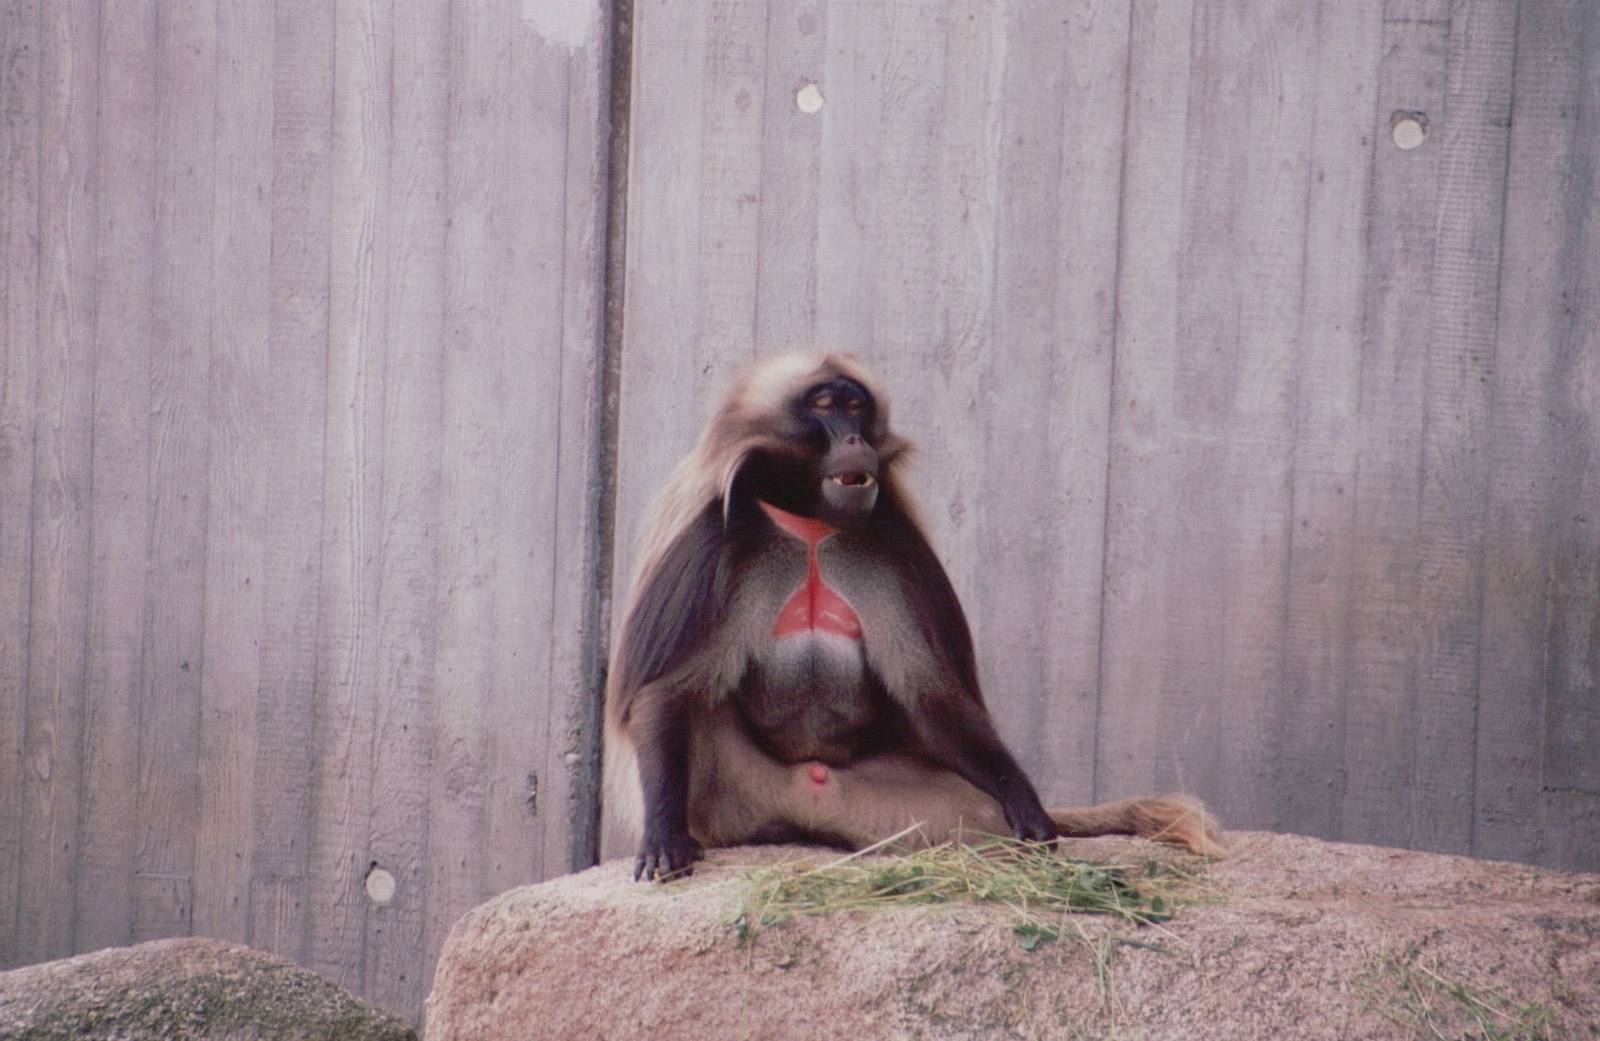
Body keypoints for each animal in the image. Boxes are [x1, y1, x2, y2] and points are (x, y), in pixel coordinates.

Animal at [603, 351, 1225, 880]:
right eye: (824, 406)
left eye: (856, 407)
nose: (855, 438)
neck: (811, 526)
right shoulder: (712, 544)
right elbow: (668, 690)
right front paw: (663, 836)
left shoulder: (896, 546)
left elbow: (933, 695)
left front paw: (1029, 807)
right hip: (727, 795)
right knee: (696, 710)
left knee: (974, 813)